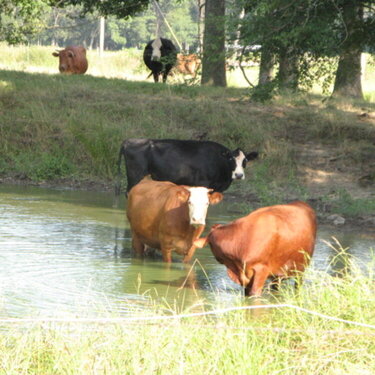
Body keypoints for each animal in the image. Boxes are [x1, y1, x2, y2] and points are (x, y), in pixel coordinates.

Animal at [116, 139, 260, 197]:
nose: (239, 175)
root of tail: (129, 141)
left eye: (245, 160)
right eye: (231, 159)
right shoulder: (203, 183)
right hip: (135, 174)